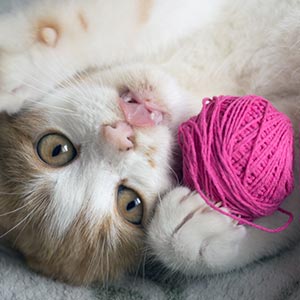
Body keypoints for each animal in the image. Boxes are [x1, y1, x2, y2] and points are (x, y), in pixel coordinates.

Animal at [0, 0, 298, 286]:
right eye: (131, 204)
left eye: (55, 149)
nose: (121, 136)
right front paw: (193, 235)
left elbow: (116, 16)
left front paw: (17, 65)